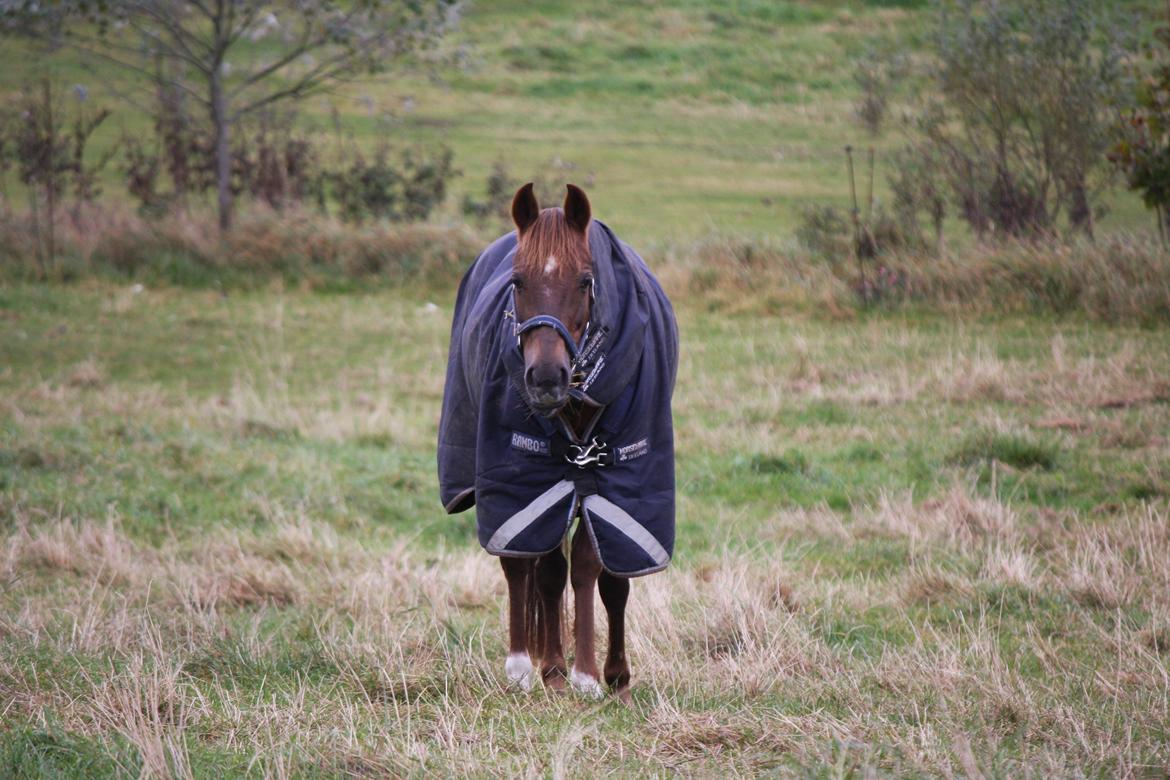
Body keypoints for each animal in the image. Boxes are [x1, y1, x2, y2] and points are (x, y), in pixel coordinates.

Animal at [438, 183, 678, 698]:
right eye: (518, 281)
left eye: (586, 281)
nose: (546, 377)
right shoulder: (524, 474)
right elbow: (532, 562)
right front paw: (541, 668)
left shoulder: (615, 478)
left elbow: (596, 569)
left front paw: (597, 675)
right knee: (535, 566)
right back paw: (542, 666)